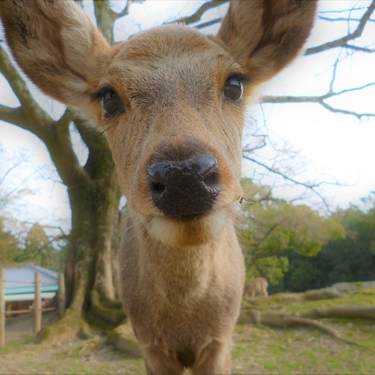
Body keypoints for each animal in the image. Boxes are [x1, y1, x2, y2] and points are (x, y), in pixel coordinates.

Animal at [0, 0, 318, 374]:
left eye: (234, 84)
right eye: (108, 98)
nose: (185, 177)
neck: (185, 318)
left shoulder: (222, 339)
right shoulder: (148, 343)